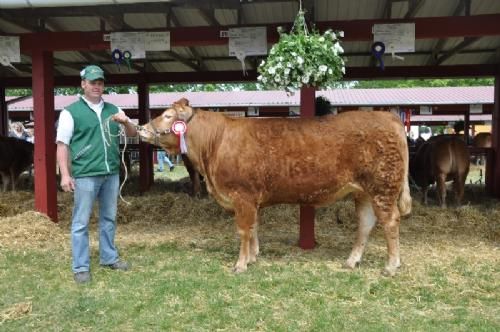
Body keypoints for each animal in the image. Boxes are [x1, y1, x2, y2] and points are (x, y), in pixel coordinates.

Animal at [139, 98, 412, 278]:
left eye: (167, 115)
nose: (141, 128)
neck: (215, 144)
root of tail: (387, 116)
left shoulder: (242, 196)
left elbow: (243, 230)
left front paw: (240, 264)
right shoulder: (251, 199)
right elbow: (253, 228)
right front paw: (252, 257)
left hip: (383, 188)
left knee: (390, 222)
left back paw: (391, 266)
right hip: (364, 192)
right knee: (366, 224)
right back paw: (351, 261)